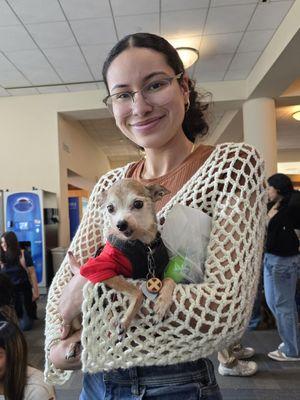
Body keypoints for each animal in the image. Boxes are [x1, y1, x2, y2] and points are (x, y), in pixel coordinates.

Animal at [59, 180, 176, 360]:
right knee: (80, 331)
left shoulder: (160, 273)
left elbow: (170, 280)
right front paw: (125, 321)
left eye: (138, 204)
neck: (144, 247)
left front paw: (162, 305)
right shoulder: (101, 270)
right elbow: (137, 292)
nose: (120, 224)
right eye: (110, 208)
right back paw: (73, 346)